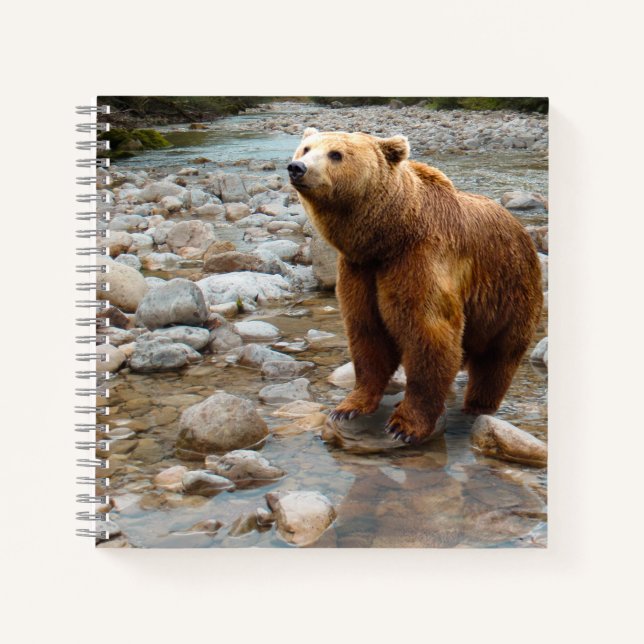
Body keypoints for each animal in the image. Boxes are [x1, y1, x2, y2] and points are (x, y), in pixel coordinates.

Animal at [288, 128, 543, 444]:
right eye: (306, 148)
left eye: (336, 154)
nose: (297, 167)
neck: (388, 236)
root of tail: (522, 229)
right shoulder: (360, 270)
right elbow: (367, 333)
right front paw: (348, 407)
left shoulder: (419, 259)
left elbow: (428, 334)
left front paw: (404, 425)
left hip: (509, 292)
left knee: (497, 358)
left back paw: (477, 404)